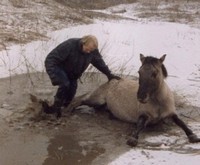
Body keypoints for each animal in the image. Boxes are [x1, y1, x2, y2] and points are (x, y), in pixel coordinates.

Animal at [52, 53, 200, 146]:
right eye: (139, 72)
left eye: (155, 73)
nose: (141, 97)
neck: (158, 102)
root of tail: (111, 81)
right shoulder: (144, 115)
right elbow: (140, 125)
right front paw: (133, 139)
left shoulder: (171, 114)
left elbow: (181, 122)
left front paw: (193, 136)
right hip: (96, 99)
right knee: (81, 100)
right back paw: (67, 110)